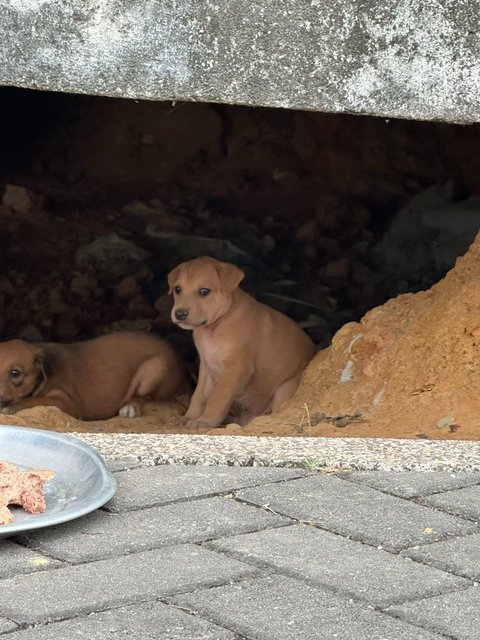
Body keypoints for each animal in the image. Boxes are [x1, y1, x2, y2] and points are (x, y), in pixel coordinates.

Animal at [0, 330, 189, 420]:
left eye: (15, 373)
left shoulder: (66, 403)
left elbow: (33, 400)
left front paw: (11, 408)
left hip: (154, 370)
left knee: (146, 397)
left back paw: (130, 407)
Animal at [169, 256, 318, 430]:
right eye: (178, 289)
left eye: (204, 291)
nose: (179, 313)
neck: (216, 326)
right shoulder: (206, 367)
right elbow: (198, 396)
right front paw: (188, 417)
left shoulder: (235, 369)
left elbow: (217, 397)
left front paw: (205, 420)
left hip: (286, 389)